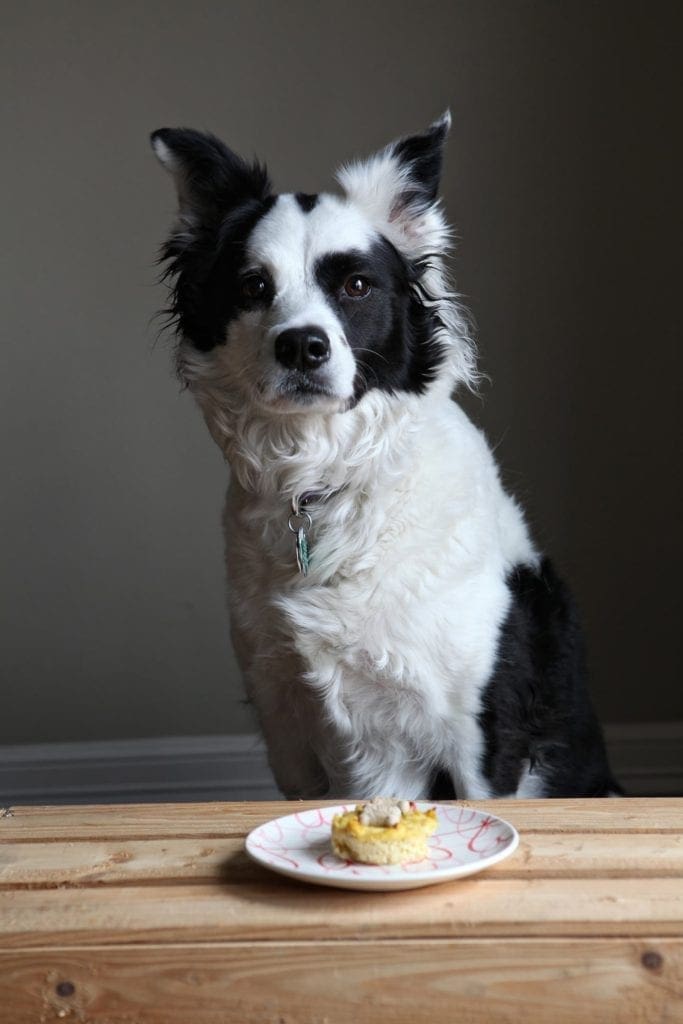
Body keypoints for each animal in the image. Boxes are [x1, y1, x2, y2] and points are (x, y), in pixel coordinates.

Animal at [150, 112, 618, 798]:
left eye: (356, 285)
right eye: (253, 286)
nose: (302, 347)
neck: (325, 483)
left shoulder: (482, 740)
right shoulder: (291, 729)